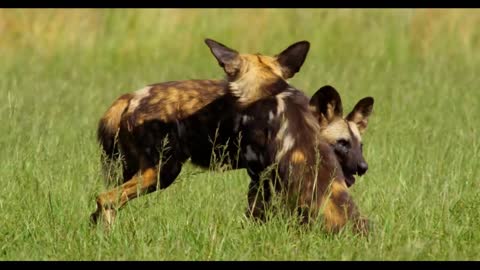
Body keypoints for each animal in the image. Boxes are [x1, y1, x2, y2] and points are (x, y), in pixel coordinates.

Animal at [91, 38, 312, 226]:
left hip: (133, 171)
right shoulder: (264, 176)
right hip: (161, 172)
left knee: (101, 206)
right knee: (106, 199)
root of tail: (131, 96)